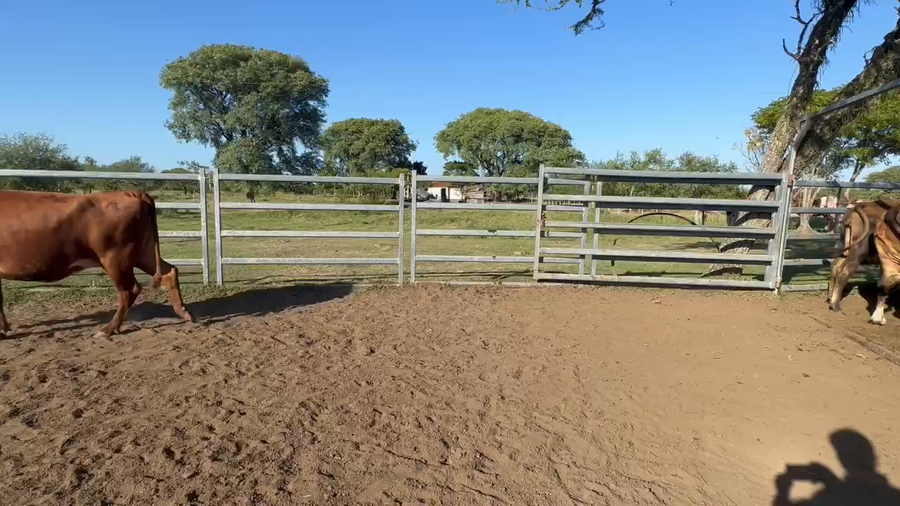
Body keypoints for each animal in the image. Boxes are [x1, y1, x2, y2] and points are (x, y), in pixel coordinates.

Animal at [0, 190, 193, 338]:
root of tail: (131, 193)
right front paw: (4, 329)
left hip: (115, 258)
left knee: (130, 290)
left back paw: (107, 330)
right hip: (143, 252)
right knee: (169, 272)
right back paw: (183, 312)